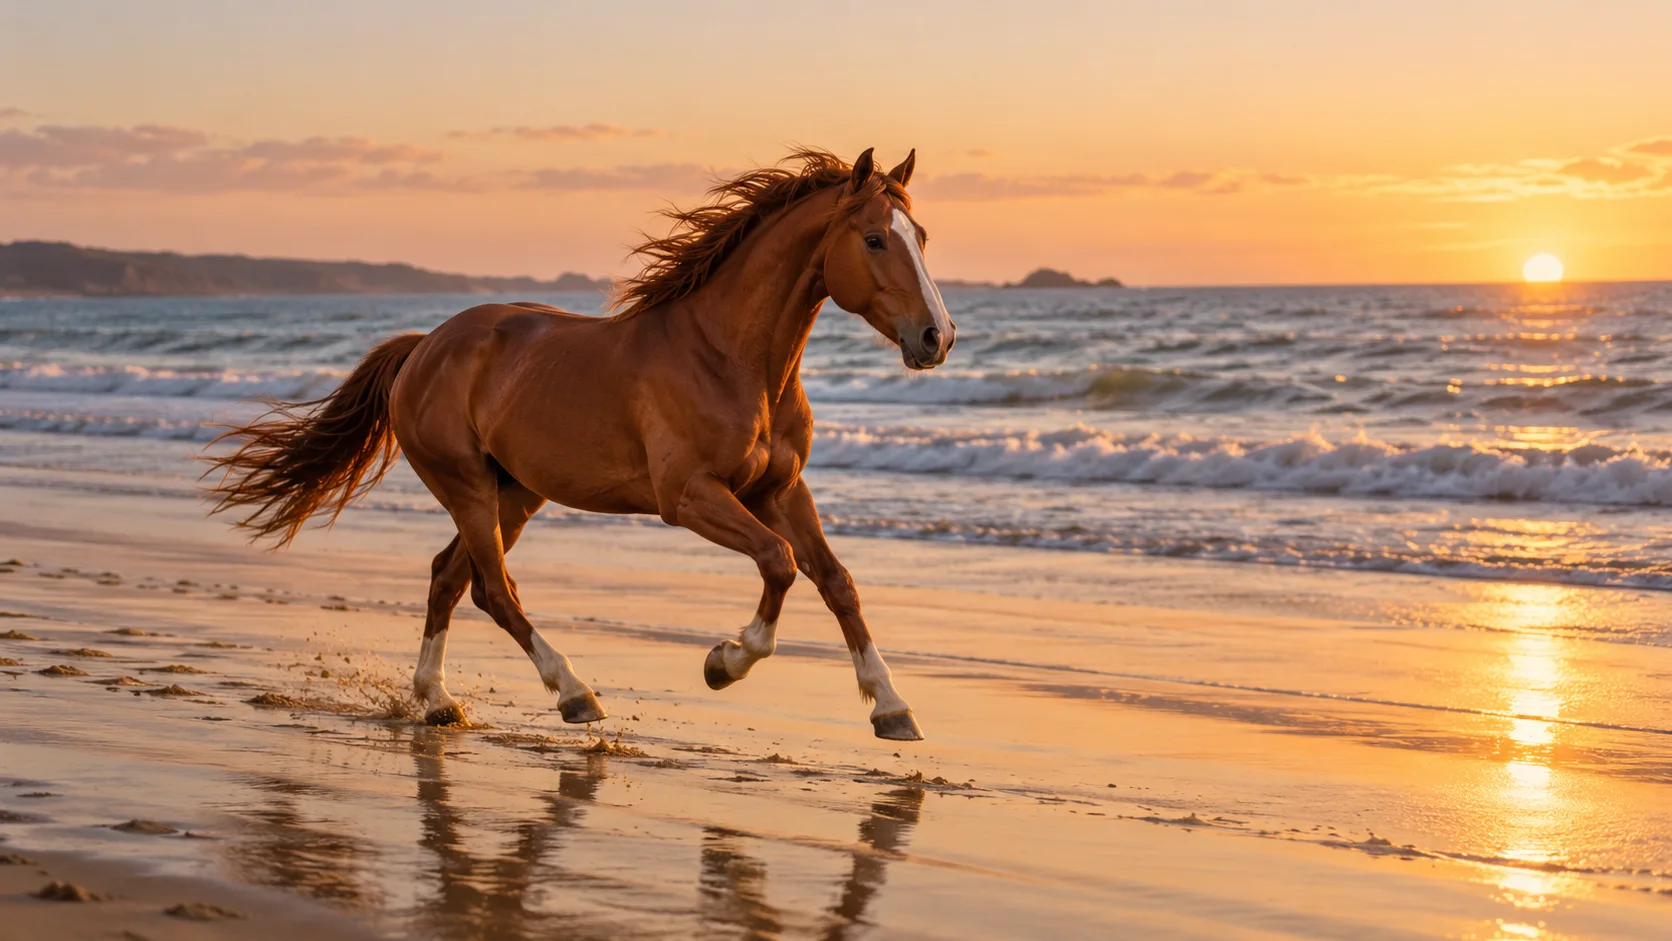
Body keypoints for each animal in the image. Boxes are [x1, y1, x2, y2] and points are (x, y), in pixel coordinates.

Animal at [203, 148, 956, 741]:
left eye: (920, 234)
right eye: (874, 240)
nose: (937, 337)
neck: (728, 359)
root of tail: (424, 347)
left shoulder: (780, 489)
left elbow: (837, 581)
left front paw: (892, 707)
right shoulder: (688, 497)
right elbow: (780, 562)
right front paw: (723, 662)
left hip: (514, 492)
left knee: (449, 579)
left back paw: (439, 702)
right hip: (469, 488)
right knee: (493, 589)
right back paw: (574, 694)